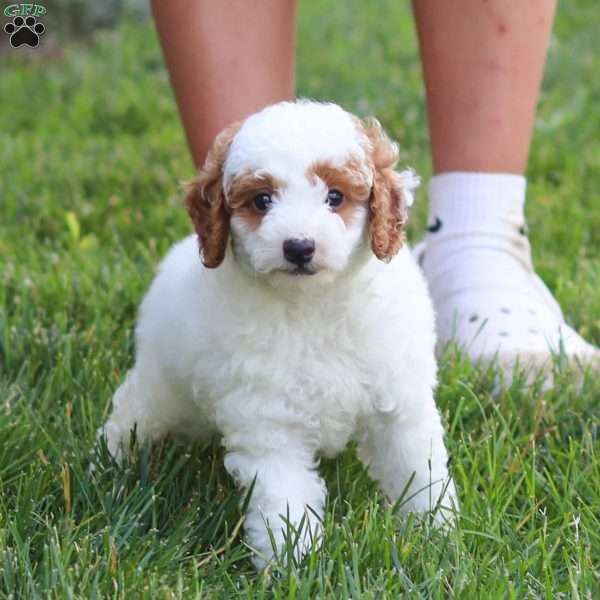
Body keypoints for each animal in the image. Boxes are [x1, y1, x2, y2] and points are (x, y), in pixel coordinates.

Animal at [101, 102, 458, 568]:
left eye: (335, 197)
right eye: (262, 200)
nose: (299, 247)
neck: (315, 305)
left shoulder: (399, 402)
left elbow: (417, 468)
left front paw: (436, 534)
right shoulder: (269, 423)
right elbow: (284, 498)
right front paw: (296, 562)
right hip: (162, 385)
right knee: (133, 412)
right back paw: (110, 463)